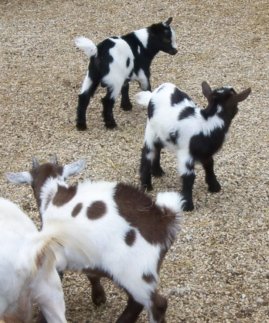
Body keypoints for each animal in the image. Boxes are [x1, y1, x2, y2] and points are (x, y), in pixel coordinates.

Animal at [6, 158, 183, 322]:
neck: (52, 192)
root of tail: (164, 220)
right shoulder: (85, 254)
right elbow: (91, 274)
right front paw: (99, 297)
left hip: (134, 273)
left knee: (153, 303)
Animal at [135, 82, 250, 211]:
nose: (237, 109)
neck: (208, 122)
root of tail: (155, 92)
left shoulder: (206, 153)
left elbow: (210, 166)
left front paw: (214, 186)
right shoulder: (186, 154)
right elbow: (189, 176)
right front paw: (187, 204)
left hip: (162, 134)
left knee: (158, 149)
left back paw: (158, 172)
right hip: (150, 131)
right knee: (147, 153)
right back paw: (147, 186)